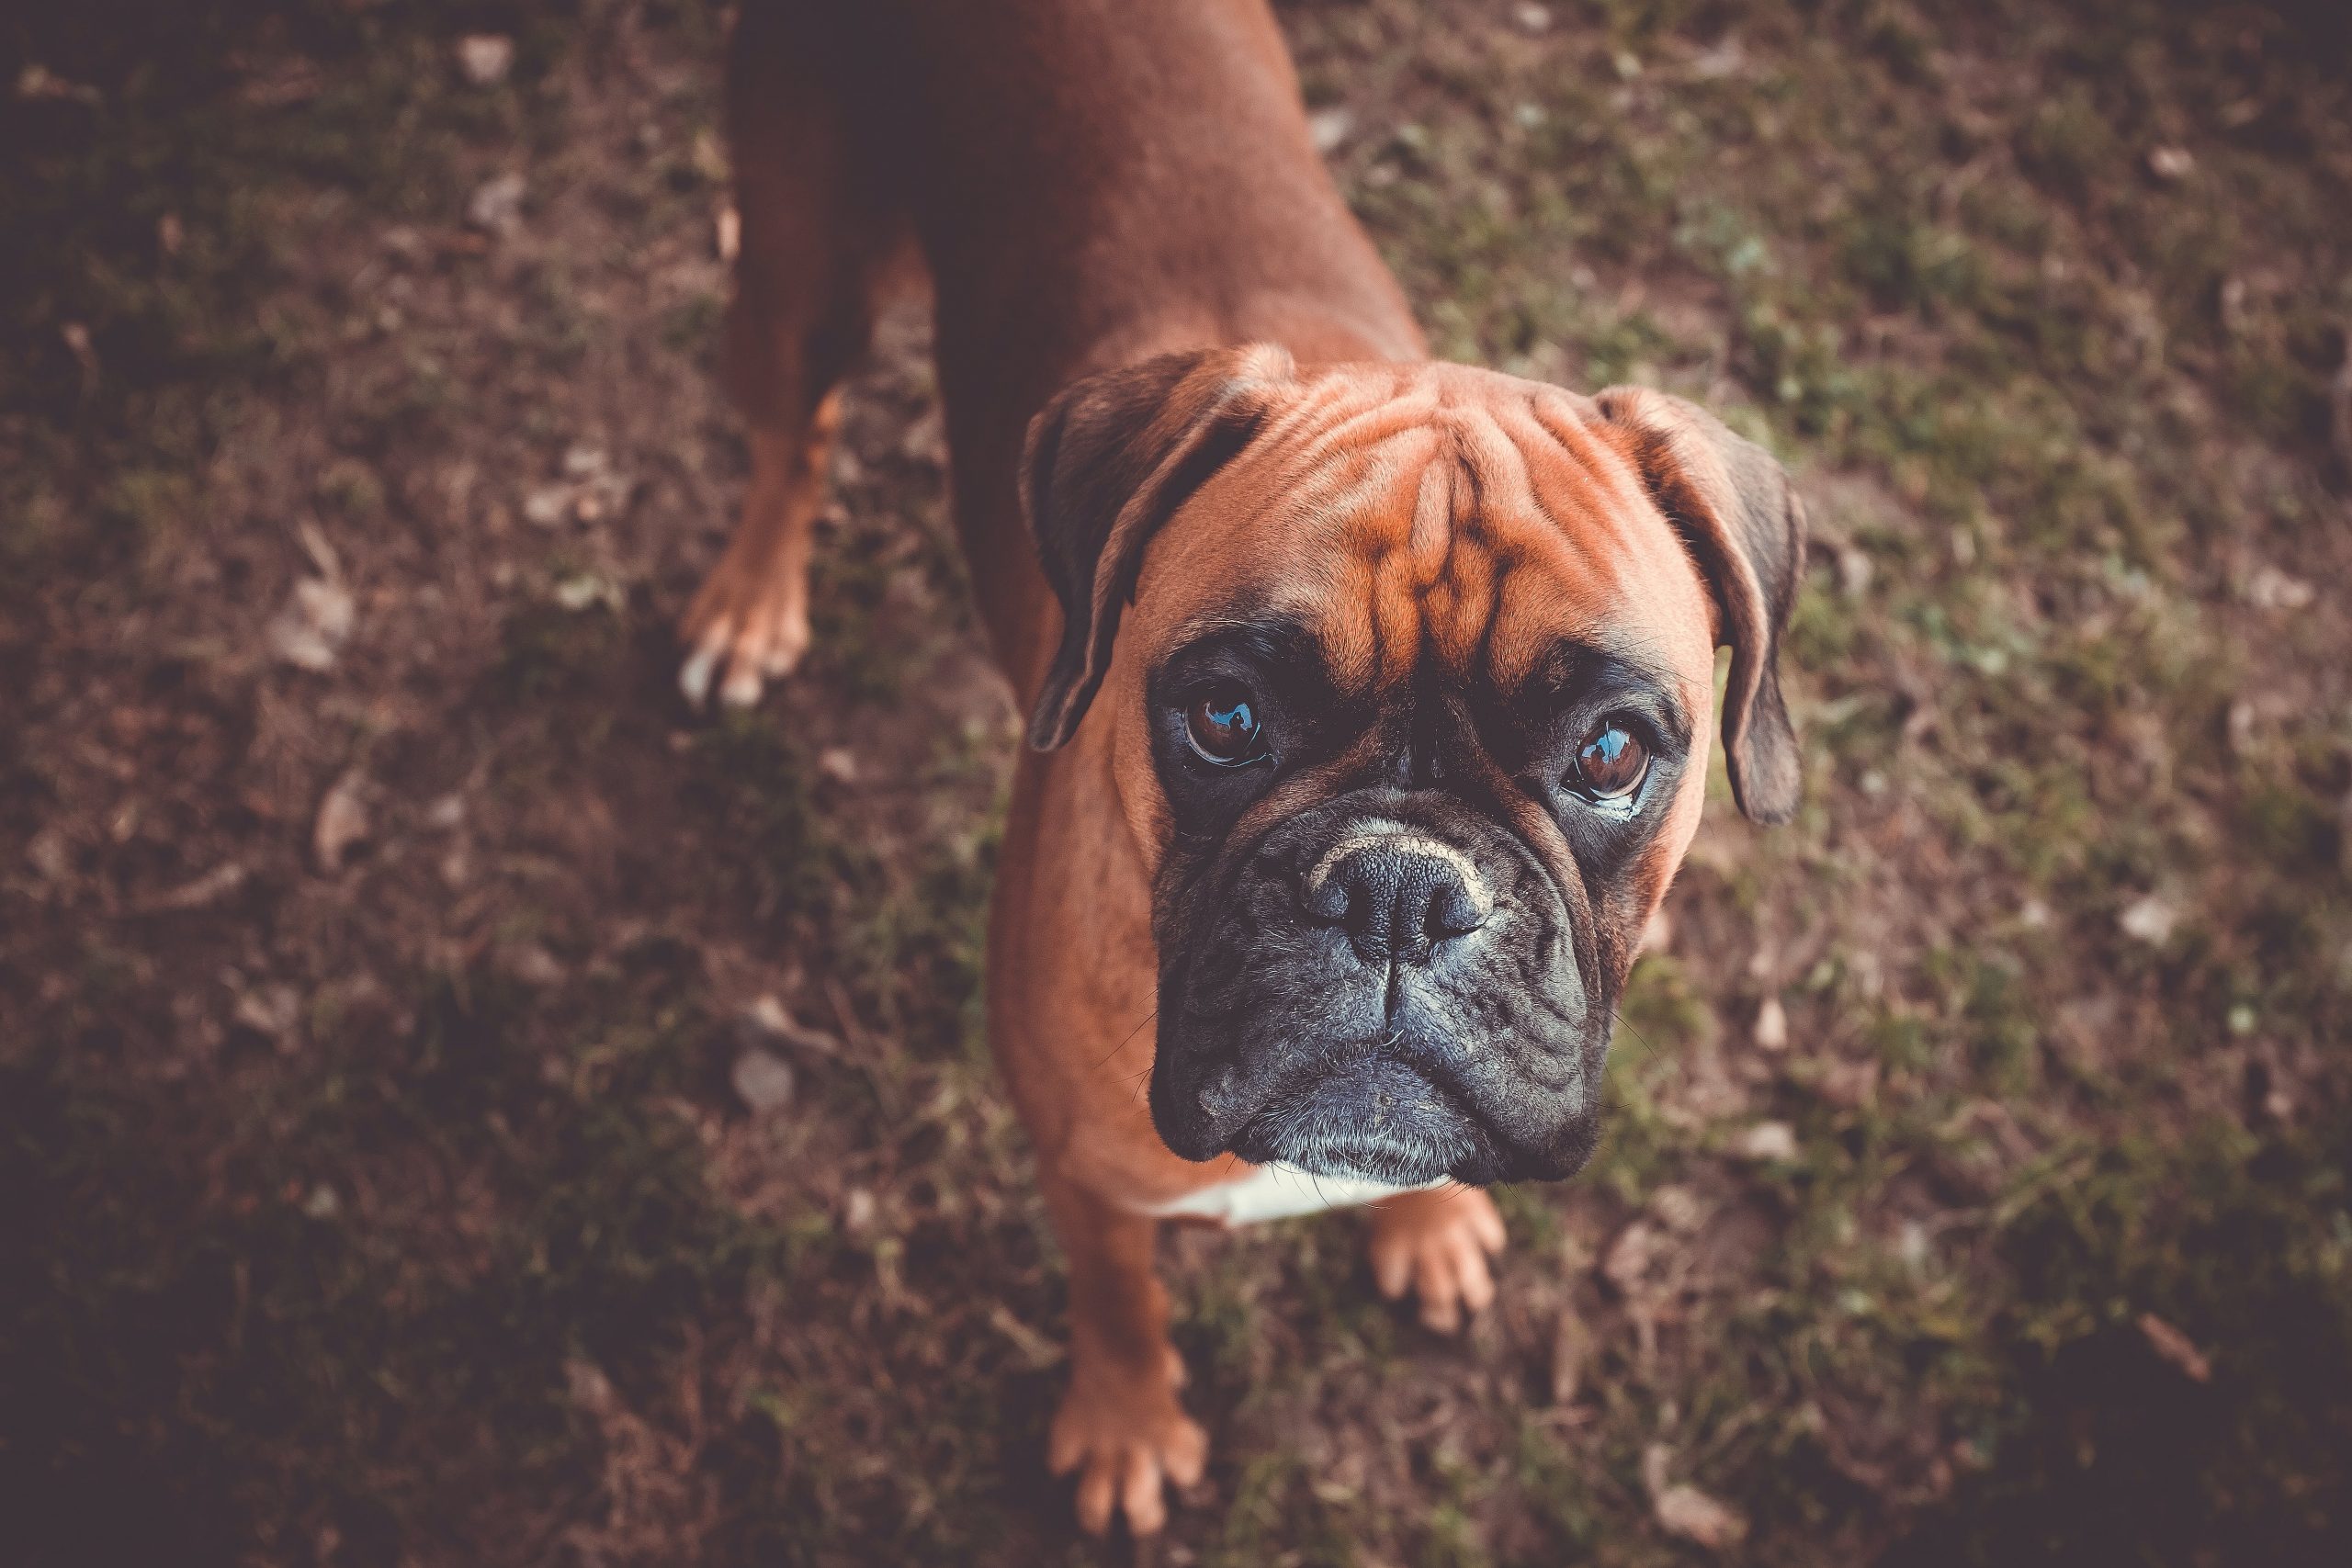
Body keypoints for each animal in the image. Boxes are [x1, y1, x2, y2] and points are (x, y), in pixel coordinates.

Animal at [682, 0, 1796, 1541]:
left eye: (1613, 749)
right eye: (1224, 715)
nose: (1400, 888)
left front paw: (1427, 1221)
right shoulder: (1083, 1177)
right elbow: (1118, 1298)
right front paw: (1128, 1423)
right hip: (802, 271)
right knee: (797, 430)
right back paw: (750, 598)